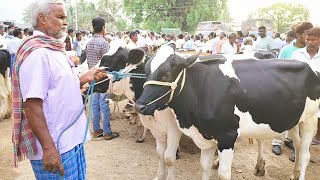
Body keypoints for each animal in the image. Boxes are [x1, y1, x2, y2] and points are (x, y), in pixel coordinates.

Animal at [135, 44, 320, 180]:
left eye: (166, 75)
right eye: (146, 71)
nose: (139, 106)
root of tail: (310, 67)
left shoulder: (226, 136)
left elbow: (223, 174)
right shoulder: (206, 135)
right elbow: (204, 166)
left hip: (310, 120)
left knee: (305, 155)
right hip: (292, 119)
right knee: (297, 144)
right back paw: (292, 173)